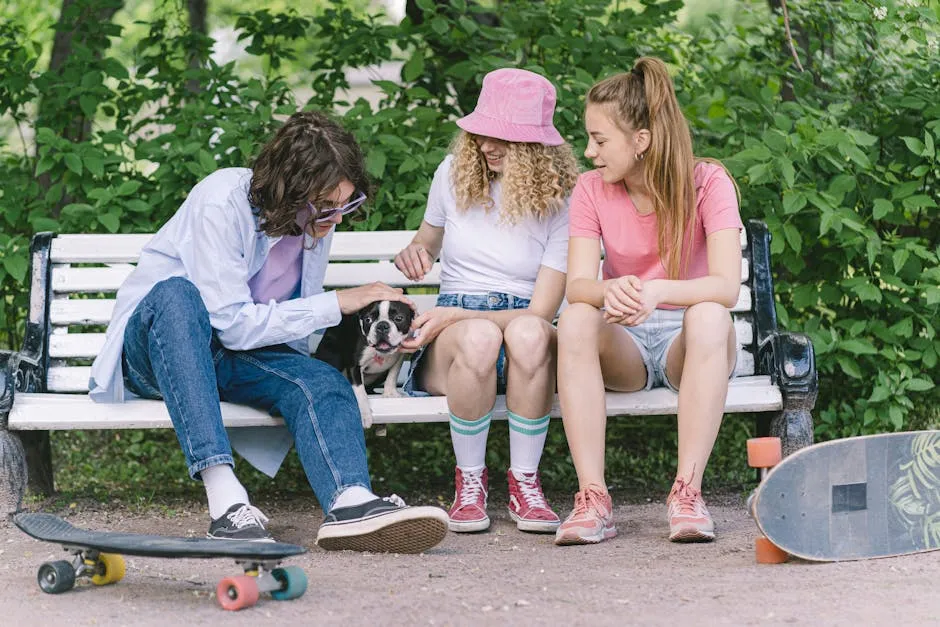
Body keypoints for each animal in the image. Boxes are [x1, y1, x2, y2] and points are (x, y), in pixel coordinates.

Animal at [314, 302, 414, 430]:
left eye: (399, 318)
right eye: (368, 319)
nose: (382, 326)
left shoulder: (400, 355)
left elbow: (393, 374)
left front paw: (390, 392)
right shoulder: (355, 366)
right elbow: (360, 392)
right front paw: (364, 414)